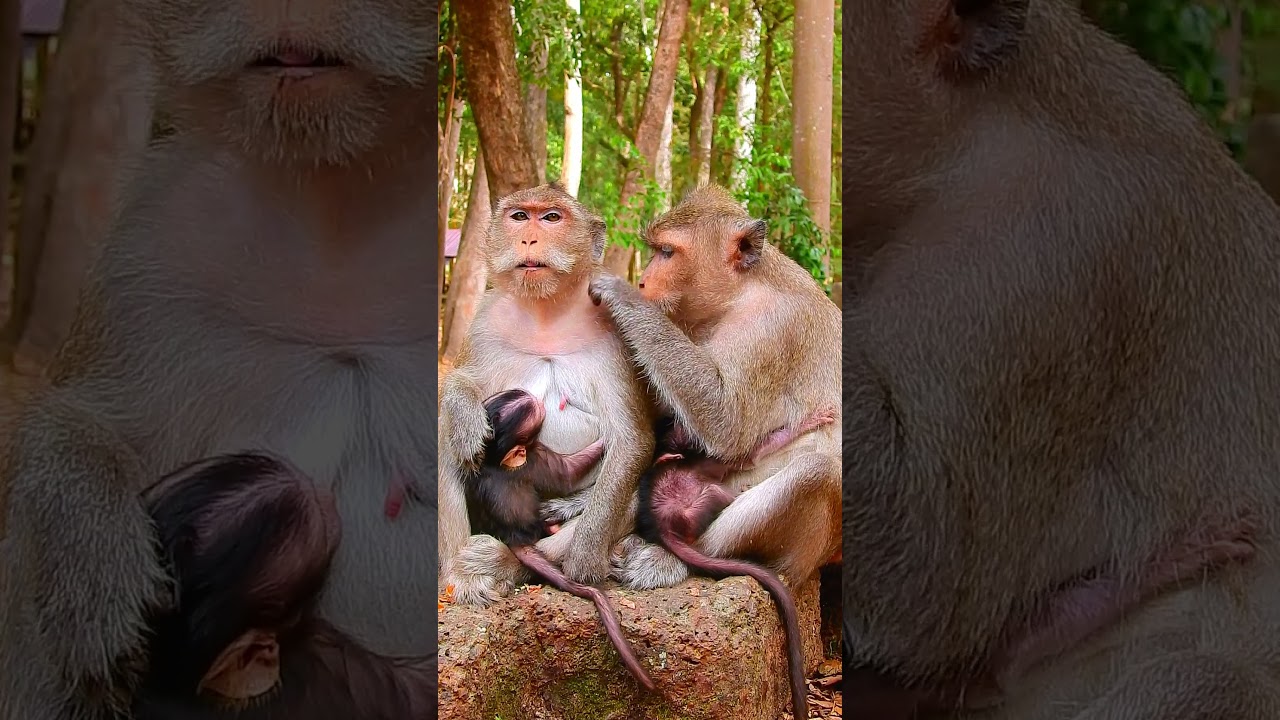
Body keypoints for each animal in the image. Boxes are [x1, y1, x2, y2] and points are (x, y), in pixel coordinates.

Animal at [439, 182, 656, 608]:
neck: (546, 312)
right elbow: (461, 381)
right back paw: (461, 574)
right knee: (446, 441)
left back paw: (508, 563)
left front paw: (586, 555)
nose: (528, 237)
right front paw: (464, 410)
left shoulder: (618, 331)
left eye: (552, 217)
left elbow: (630, 439)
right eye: (520, 216)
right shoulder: (486, 318)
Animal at [459, 388, 655, 691]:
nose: (533, 397)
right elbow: (566, 471)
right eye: (532, 411)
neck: (494, 459)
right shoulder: (537, 458)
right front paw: (603, 441)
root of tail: (514, 535)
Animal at [586, 183, 841, 596]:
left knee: (817, 471)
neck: (740, 294)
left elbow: (727, 424)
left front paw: (621, 294)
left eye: (667, 252)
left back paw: (681, 555)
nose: (642, 281)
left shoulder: (773, 329)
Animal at [637, 406, 838, 717]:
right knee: (719, 492)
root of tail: (665, 529)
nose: (685, 425)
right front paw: (810, 421)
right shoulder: (713, 459)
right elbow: (753, 456)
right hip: (699, 509)